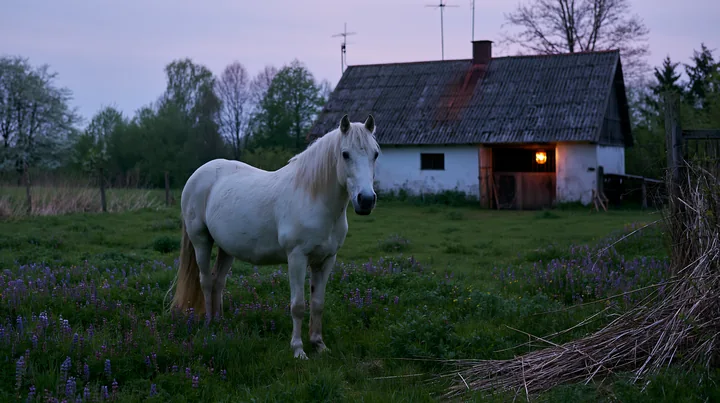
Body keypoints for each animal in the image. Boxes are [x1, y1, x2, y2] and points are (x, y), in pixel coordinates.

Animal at [166, 114, 380, 359]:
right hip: (201, 241)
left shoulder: (326, 260)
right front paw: (298, 350)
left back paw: (220, 322)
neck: (313, 197)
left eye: (375, 154)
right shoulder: (297, 258)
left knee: (218, 280)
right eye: (345, 154)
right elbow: (298, 305)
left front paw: (318, 344)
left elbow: (318, 303)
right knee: (206, 281)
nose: (366, 200)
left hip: (227, 248)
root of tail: (197, 175)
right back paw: (210, 324)